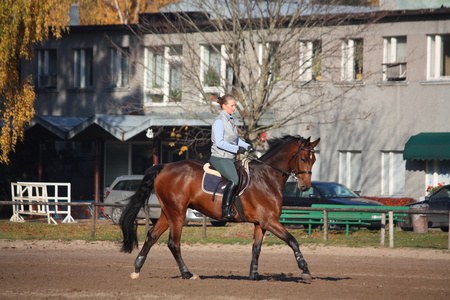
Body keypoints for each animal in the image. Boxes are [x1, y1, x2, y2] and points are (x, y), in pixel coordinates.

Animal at [119, 135, 320, 282]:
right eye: (303, 158)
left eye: (314, 160)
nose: (304, 187)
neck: (267, 176)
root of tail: (165, 166)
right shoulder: (269, 221)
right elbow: (292, 240)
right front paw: (305, 269)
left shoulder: (260, 223)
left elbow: (256, 248)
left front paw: (254, 275)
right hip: (177, 213)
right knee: (173, 243)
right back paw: (187, 274)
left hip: (167, 212)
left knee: (152, 236)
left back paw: (136, 269)